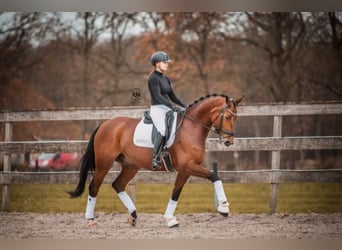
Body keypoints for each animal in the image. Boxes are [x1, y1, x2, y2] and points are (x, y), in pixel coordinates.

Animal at [68, 93, 243, 228]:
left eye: (236, 118)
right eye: (228, 116)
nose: (229, 141)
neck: (191, 128)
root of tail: (105, 124)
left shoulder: (185, 170)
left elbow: (176, 193)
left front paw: (170, 219)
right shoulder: (188, 166)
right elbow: (215, 176)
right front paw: (224, 208)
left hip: (131, 166)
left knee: (118, 185)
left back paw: (133, 216)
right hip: (104, 164)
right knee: (94, 187)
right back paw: (91, 220)